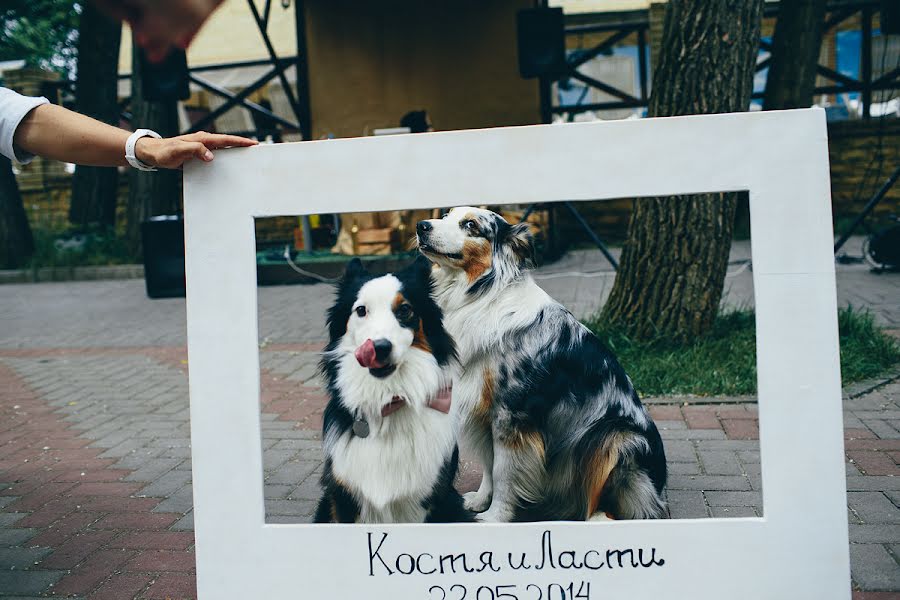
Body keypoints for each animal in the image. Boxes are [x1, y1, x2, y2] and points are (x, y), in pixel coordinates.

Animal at [314, 258, 474, 524]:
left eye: (405, 309)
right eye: (361, 310)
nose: (379, 347)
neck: (388, 398)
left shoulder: (427, 501)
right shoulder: (343, 498)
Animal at [416, 206, 668, 520]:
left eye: (470, 225)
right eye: (445, 215)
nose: (421, 226)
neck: (480, 296)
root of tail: (660, 483)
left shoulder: (512, 415)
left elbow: (503, 471)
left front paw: (495, 517)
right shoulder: (482, 407)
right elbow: (488, 463)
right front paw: (480, 501)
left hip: (615, 438)